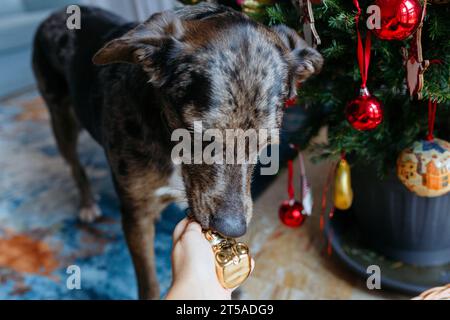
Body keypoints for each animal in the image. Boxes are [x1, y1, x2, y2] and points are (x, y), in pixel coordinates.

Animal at [32, 2, 324, 298]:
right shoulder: (137, 215)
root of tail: (54, 15)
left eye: (266, 144)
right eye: (200, 135)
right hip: (59, 116)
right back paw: (88, 203)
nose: (233, 228)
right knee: (74, 165)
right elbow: (149, 282)